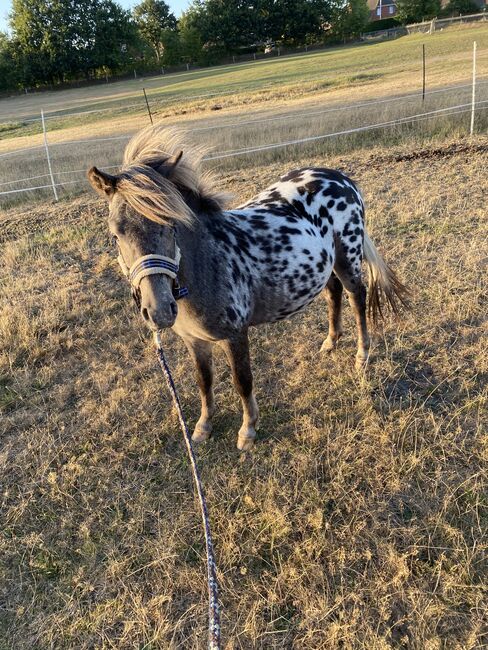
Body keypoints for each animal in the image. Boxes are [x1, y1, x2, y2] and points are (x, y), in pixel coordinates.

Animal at [88, 127, 408, 450]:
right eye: (115, 234)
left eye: (171, 225)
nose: (160, 310)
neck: (209, 261)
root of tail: (340, 177)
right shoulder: (195, 341)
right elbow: (204, 382)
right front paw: (203, 427)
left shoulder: (235, 335)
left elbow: (242, 381)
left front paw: (248, 430)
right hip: (324, 263)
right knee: (333, 293)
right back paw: (330, 341)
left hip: (347, 258)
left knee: (357, 297)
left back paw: (362, 355)